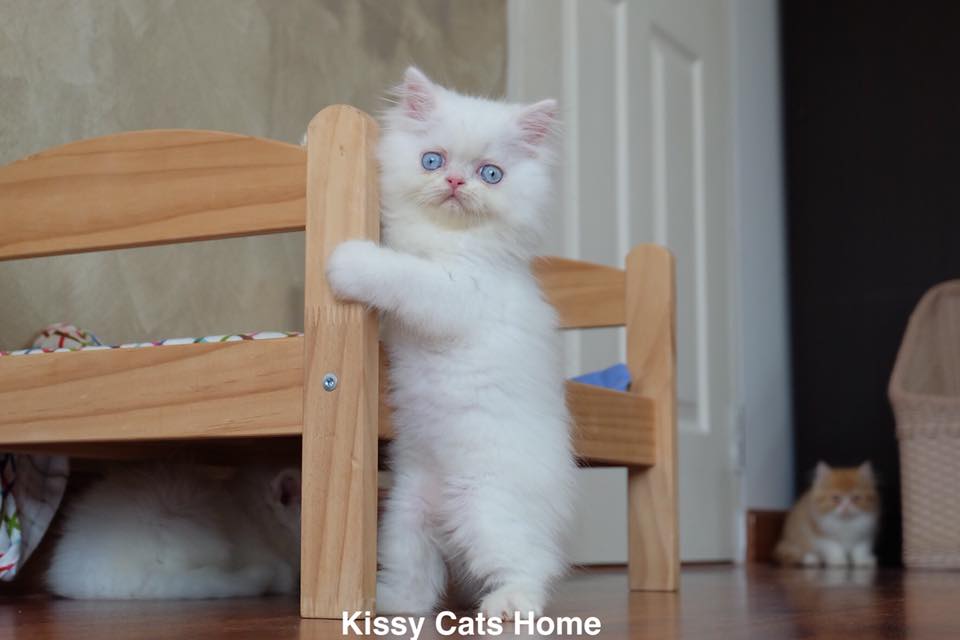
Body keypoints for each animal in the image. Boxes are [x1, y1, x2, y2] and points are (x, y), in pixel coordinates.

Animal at [325, 67, 575, 618]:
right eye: (432, 161)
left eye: (491, 174)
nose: (455, 182)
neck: (447, 238)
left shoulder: (456, 294)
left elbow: (399, 273)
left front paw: (347, 260)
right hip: (404, 514)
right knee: (417, 580)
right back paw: (388, 604)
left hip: (487, 509)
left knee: (531, 566)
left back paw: (507, 607)